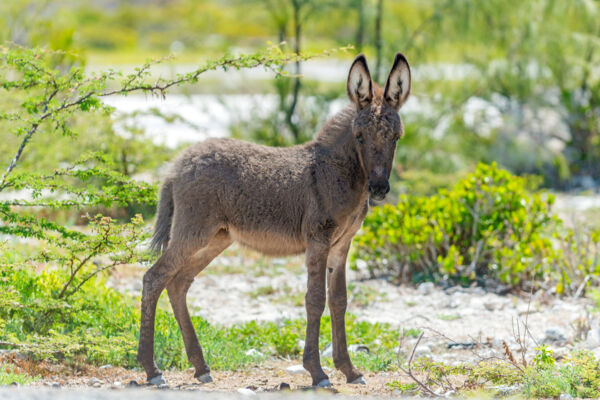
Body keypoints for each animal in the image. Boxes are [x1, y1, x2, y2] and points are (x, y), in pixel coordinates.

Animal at [139, 52, 412, 388]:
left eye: (396, 137)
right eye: (359, 136)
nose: (379, 189)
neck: (340, 172)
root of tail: (176, 166)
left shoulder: (341, 245)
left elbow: (339, 301)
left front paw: (349, 370)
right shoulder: (318, 241)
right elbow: (315, 299)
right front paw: (318, 372)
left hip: (216, 238)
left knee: (178, 283)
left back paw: (201, 368)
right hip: (193, 232)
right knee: (154, 278)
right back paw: (152, 370)